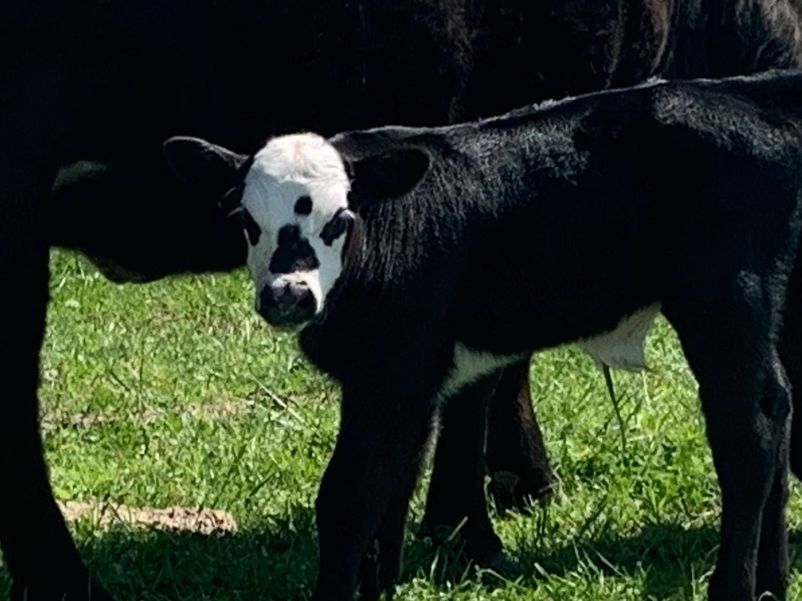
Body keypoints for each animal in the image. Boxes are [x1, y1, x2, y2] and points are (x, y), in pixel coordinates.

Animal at [4, 1, 802, 599]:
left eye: (340, 217)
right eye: (244, 218)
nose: (288, 295)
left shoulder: (402, 366)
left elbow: (372, 484)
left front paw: (468, 526)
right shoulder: (398, 375)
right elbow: (392, 477)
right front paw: (461, 532)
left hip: (726, 298)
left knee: (757, 418)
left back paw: (752, 582)